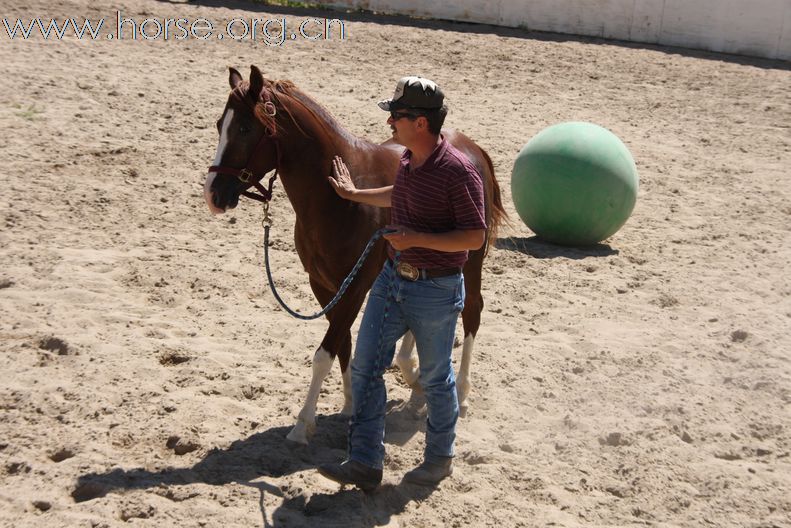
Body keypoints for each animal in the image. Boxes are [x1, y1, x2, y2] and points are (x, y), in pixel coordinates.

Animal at [201, 66, 504, 446]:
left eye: (244, 128)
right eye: (218, 124)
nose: (213, 195)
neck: (337, 199)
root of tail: (471, 146)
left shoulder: (355, 286)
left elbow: (324, 353)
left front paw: (302, 425)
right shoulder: (324, 285)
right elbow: (342, 343)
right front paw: (349, 404)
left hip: (471, 261)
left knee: (471, 311)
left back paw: (460, 393)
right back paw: (415, 380)